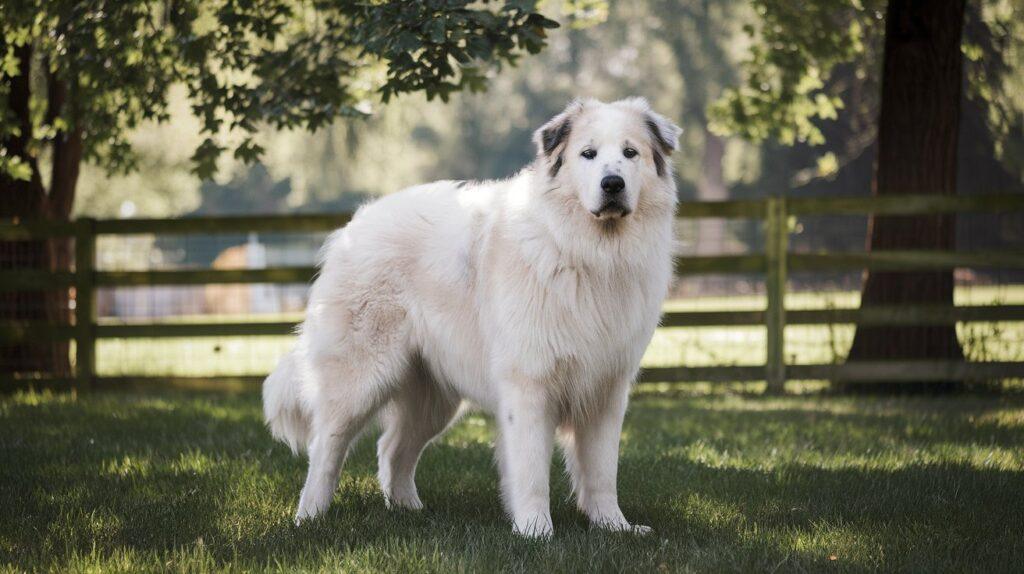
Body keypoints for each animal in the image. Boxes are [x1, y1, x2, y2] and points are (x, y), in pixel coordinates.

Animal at [264, 97, 679, 536]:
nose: (612, 184)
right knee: (326, 448)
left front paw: (614, 526)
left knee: (392, 449)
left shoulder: (605, 390)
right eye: (589, 154)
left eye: (630, 153)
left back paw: (410, 511)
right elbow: (531, 469)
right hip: (358, 380)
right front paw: (536, 531)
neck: (587, 253)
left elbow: (602, 471)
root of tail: (354, 225)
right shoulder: (528, 385)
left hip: (433, 398)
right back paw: (310, 518)